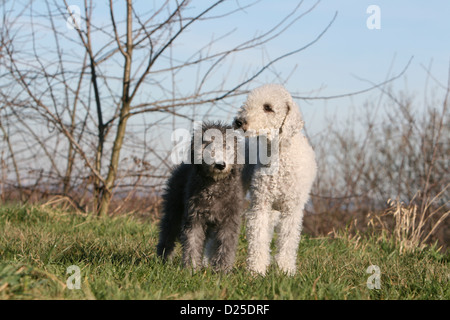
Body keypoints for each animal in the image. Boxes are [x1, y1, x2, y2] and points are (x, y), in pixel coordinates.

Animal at [156, 121, 246, 272]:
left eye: (227, 147)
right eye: (208, 145)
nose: (220, 165)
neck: (214, 185)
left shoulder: (228, 221)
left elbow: (225, 246)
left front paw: (222, 270)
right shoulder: (194, 218)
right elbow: (192, 243)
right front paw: (191, 268)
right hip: (173, 211)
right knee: (167, 234)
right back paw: (163, 259)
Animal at [236, 84, 316, 276]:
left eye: (268, 107)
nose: (239, 122)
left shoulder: (291, 210)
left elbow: (287, 242)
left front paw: (285, 271)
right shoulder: (261, 205)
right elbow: (258, 239)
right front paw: (256, 271)